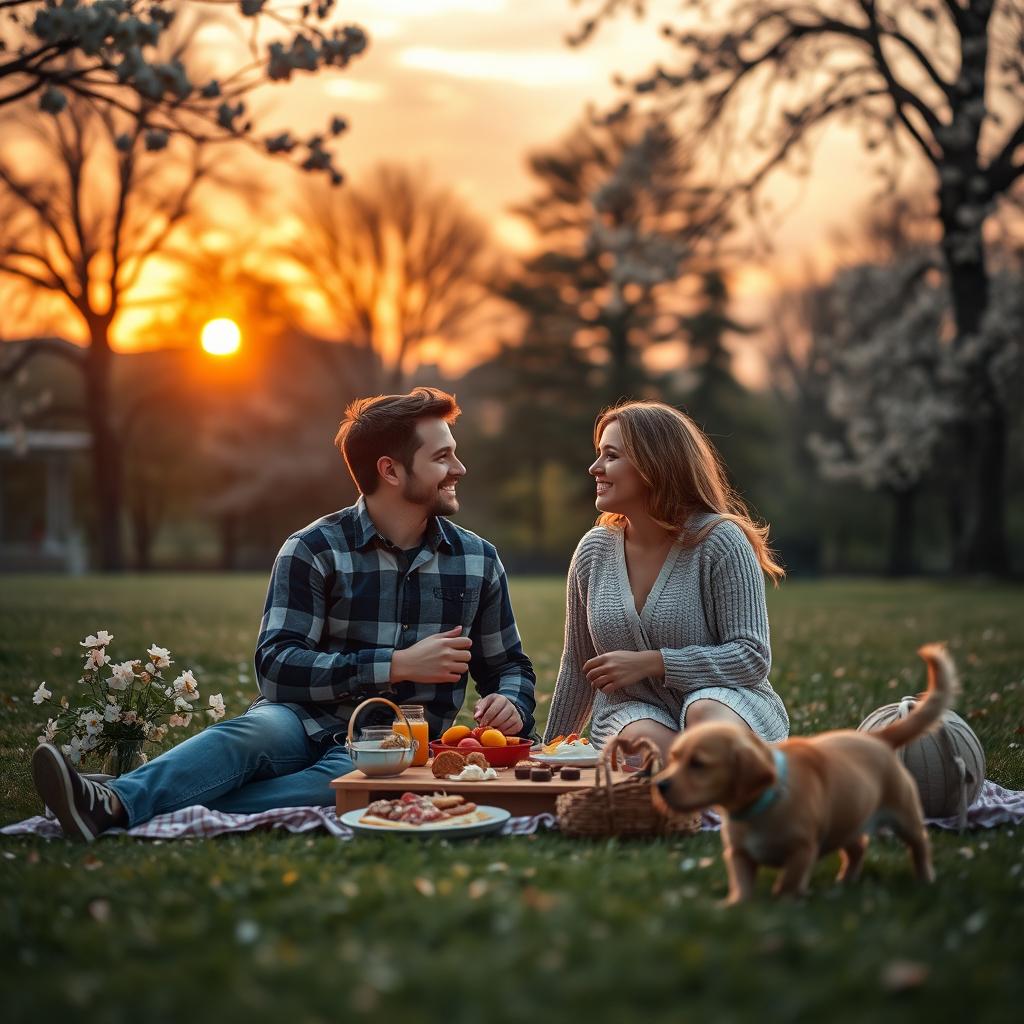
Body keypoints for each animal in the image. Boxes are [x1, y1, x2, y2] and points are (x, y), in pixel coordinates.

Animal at [651, 643, 954, 901]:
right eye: (674, 758)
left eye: (699, 764)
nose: (660, 785)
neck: (757, 807)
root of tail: (877, 739)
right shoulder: (738, 854)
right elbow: (742, 884)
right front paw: (736, 906)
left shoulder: (803, 850)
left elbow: (788, 883)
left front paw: (783, 902)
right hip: (849, 818)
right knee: (858, 846)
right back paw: (845, 881)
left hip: (904, 812)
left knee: (920, 844)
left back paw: (925, 879)